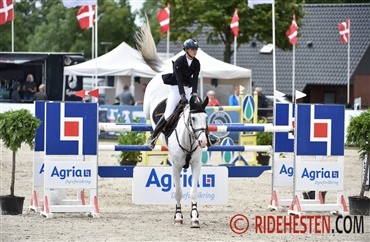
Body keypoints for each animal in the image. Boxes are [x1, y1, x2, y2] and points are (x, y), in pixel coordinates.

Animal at [137, 14, 210, 227]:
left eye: (206, 117)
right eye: (192, 118)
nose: (203, 141)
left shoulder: (196, 164)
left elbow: (193, 191)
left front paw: (194, 216)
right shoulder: (176, 166)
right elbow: (177, 192)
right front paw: (178, 216)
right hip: (149, 106)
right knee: (149, 118)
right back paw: (151, 137)